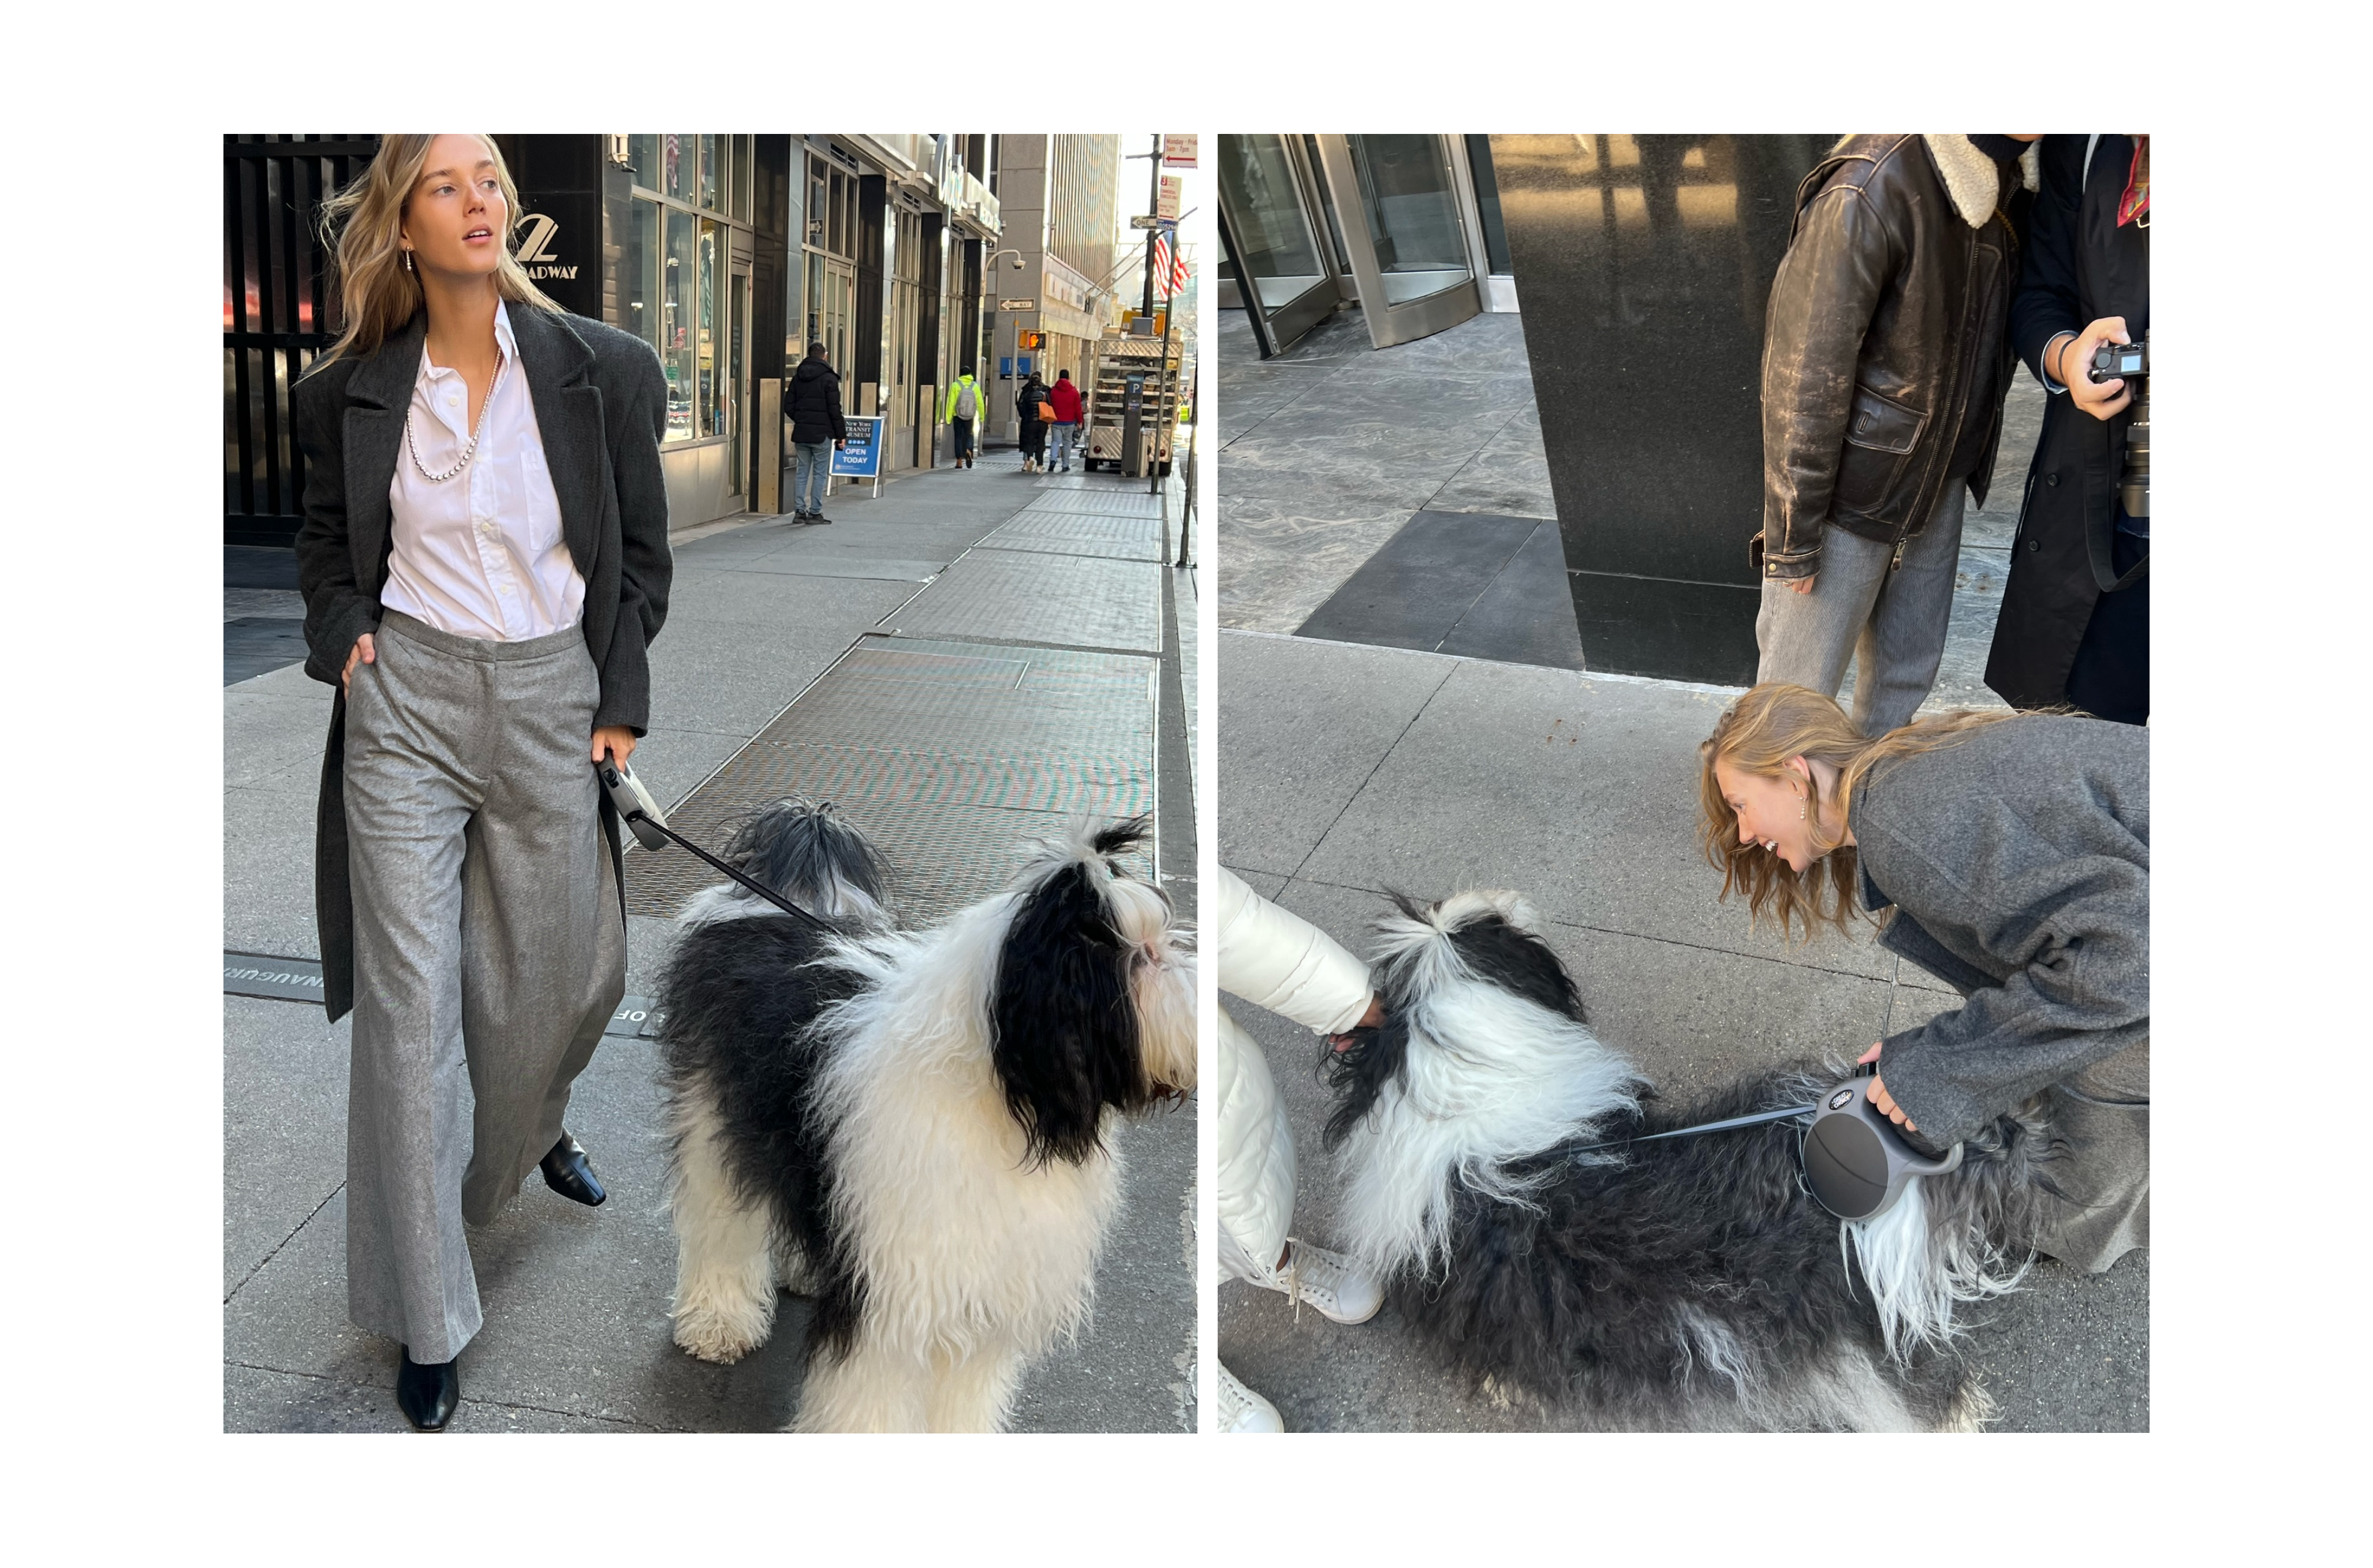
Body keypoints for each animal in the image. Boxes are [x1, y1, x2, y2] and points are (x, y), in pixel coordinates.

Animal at [650, 801, 1196, 1423]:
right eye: (1143, 957)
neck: (1003, 1101)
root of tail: (762, 903)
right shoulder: (895, 1298)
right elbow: (868, 1408)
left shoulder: (983, 1293)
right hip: (714, 1110)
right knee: (719, 1220)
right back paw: (718, 1320)